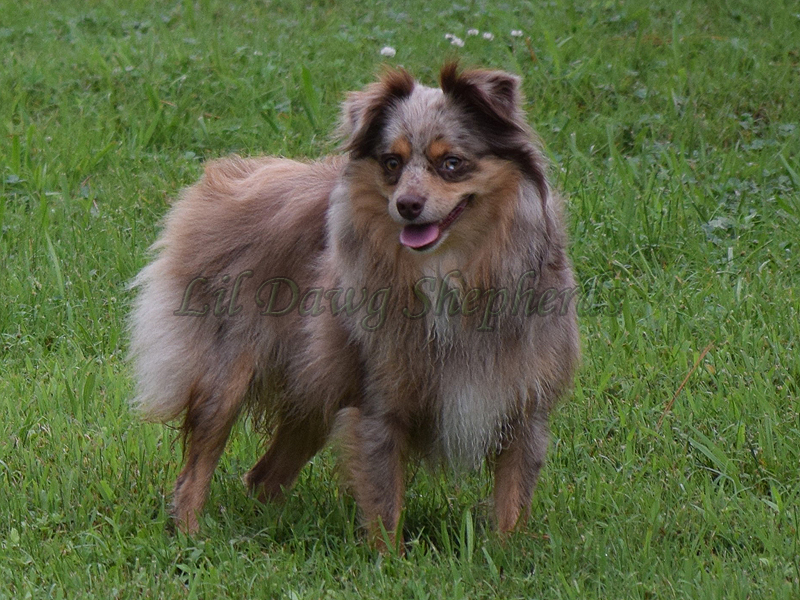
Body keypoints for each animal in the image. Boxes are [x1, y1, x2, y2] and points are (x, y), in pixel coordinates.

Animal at [131, 63, 580, 548]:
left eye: (452, 164)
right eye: (391, 163)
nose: (407, 205)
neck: (451, 269)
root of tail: (230, 175)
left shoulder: (524, 403)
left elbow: (513, 501)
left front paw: (507, 554)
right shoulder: (381, 402)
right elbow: (385, 504)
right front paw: (390, 560)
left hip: (314, 383)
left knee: (264, 477)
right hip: (228, 372)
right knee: (199, 462)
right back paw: (189, 533)